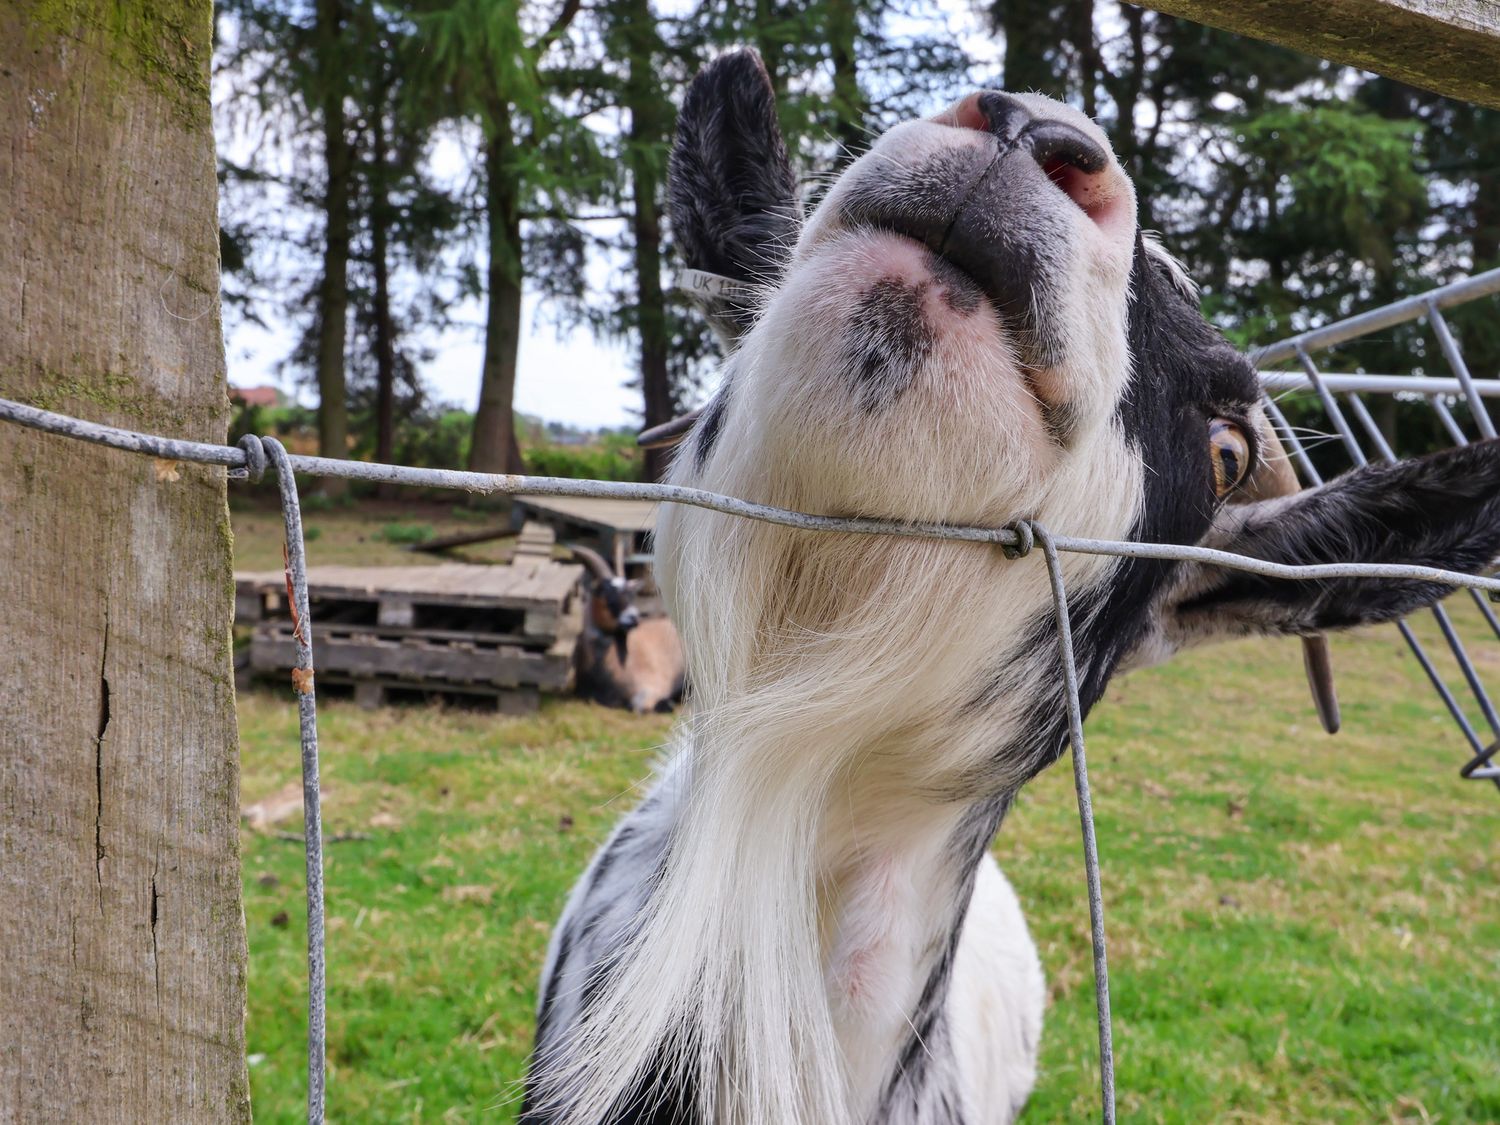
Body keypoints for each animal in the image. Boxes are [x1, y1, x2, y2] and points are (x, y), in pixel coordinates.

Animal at [567, 543, 687, 714]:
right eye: (605, 591)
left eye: (630, 593)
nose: (633, 618)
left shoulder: (653, 686)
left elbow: (637, 705)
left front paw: (666, 704)